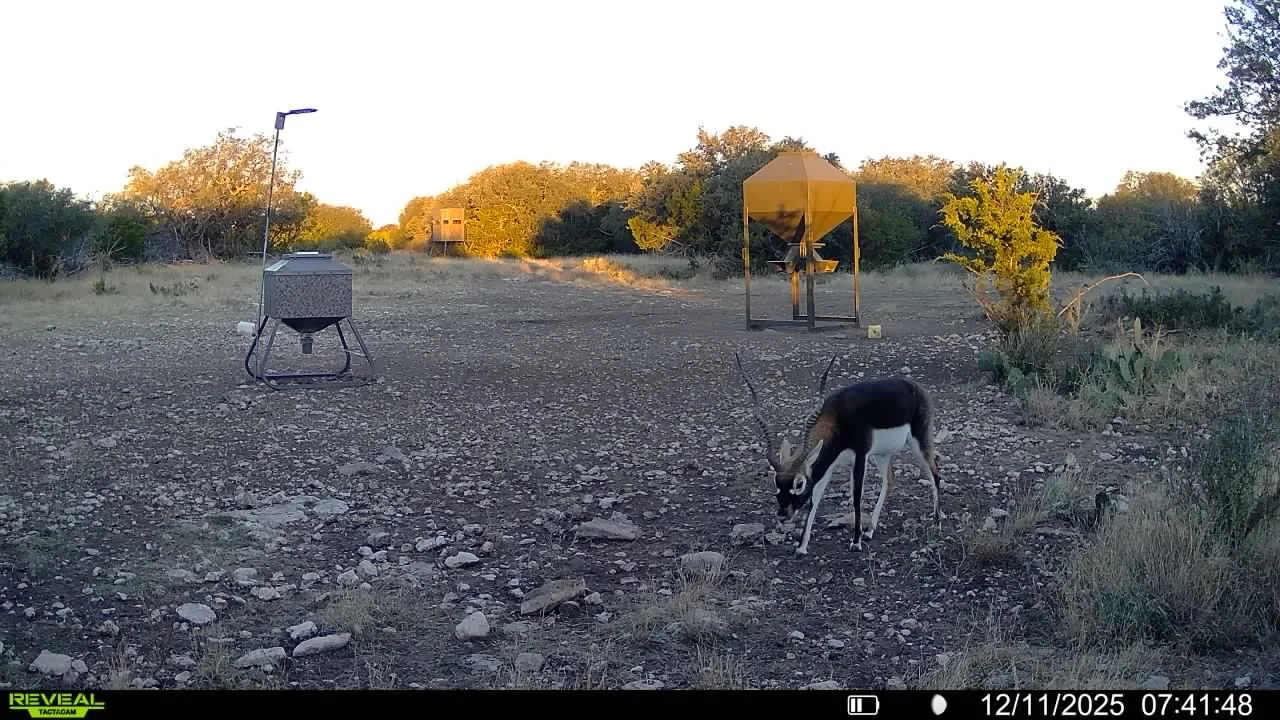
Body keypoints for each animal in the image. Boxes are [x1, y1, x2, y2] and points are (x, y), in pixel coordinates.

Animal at [735, 352, 944, 555]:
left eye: (799, 484)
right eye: (776, 482)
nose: (783, 514)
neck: (839, 418)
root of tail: (916, 387)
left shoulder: (860, 456)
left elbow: (856, 495)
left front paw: (855, 542)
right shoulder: (827, 463)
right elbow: (815, 498)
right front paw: (802, 546)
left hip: (919, 442)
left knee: (935, 473)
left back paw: (937, 522)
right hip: (881, 455)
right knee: (890, 479)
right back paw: (870, 530)